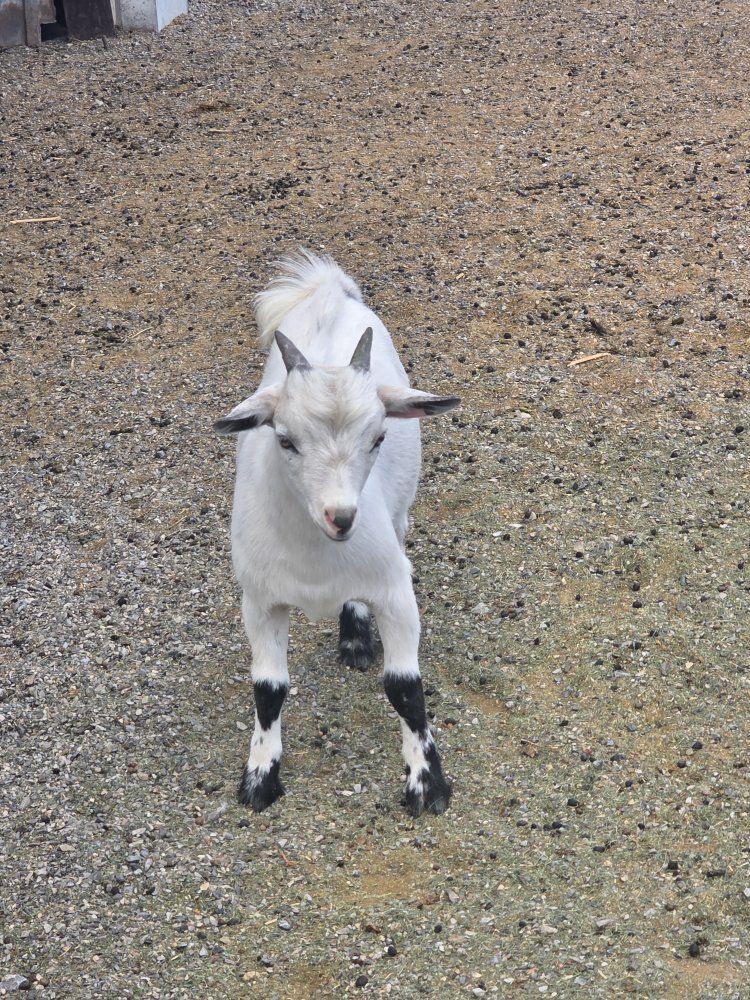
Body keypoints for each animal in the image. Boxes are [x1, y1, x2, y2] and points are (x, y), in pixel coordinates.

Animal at [215, 251, 460, 816]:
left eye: (379, 436)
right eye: (284, 439)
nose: (341, 517)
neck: (316, 559)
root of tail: (328, 292)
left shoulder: (395, 590)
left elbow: (405, 687)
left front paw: (427, 782)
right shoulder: (259, 601)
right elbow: (268, 689)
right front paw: (260, 776)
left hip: (400, 513)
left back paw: (354, 635)